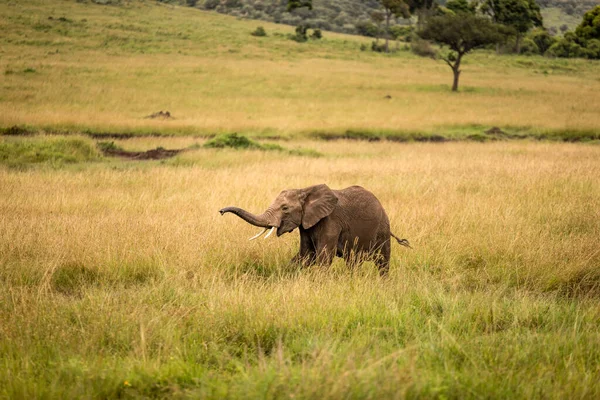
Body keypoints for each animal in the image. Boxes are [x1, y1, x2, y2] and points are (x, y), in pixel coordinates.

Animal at [218, 184, 410, 276]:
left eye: (285, 208)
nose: (220, 211)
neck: (305, 190)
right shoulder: (306, 224)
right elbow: (305, 255)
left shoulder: (331, 221)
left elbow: (324, 257)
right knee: (353, 262)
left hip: (383, 229)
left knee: (382, 261)